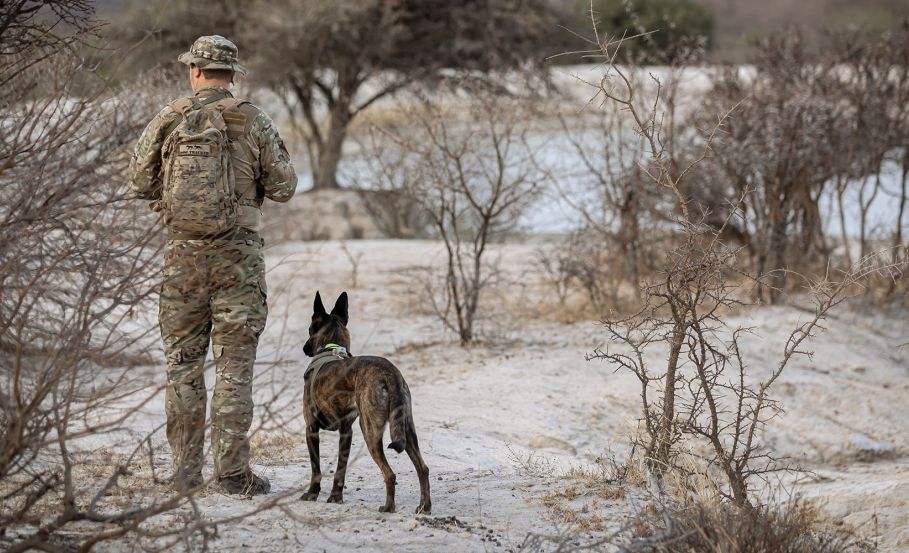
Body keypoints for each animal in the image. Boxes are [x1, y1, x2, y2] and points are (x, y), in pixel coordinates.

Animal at [300, 288, 430, 512]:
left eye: (309, 329)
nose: (305, 348)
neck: (331, 348)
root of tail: (389, 372)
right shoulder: (346, 432)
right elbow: (341, 470)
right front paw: (336, 497)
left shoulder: (311, 428)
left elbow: (316, 468)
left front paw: (312, 494)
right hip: (406, 428)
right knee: (423, 468)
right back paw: (424, 507)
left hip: (369, 429)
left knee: (390, 474)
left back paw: (388, 507)